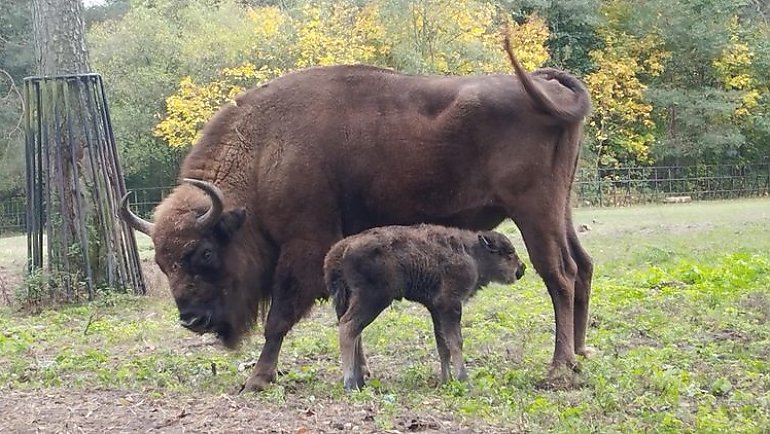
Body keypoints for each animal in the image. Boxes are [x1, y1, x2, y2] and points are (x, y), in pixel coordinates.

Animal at [320, 224, 524, 390]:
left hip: (349, 301)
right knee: (348, 328)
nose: (521, 269)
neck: (471, 252)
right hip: (372, 300)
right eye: (508, 252)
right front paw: (463, 379)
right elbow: (455, 342)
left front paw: (446, 380)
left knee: (355, 333)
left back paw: (359, 380)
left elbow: (443, 345)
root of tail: (341, 249)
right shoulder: (451, 305)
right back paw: (350, 383)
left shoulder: (436, 309)